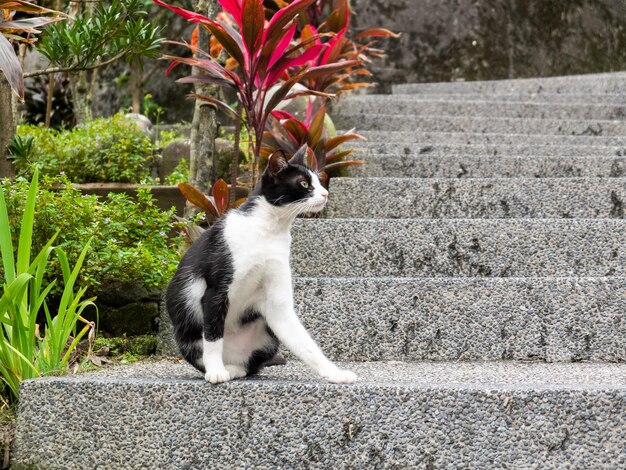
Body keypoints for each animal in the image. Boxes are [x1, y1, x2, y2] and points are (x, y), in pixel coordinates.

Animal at [165, 145, 356, 384]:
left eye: (319, 182)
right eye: (304, 184)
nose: (325, 194)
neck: (269, 229)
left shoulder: (277, 296)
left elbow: (305, 342)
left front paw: (336, 373)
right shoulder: (215, 289)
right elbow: (213, 334)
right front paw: (215, 371)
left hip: (269, 339)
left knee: (250, 366)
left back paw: (234, 369)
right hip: (186, 334)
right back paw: (223, 368)